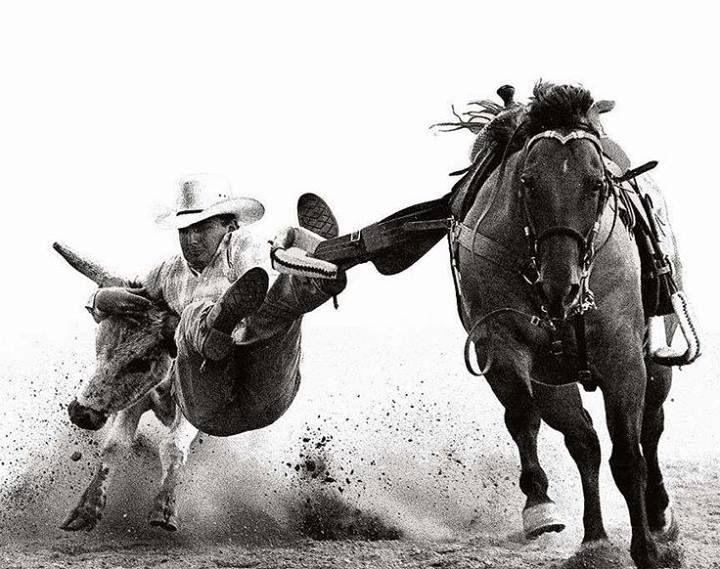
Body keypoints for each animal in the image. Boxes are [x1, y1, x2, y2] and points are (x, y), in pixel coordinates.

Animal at [452, 81, 684, 568]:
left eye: (596, 185)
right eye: (527, 182)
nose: (562, 284)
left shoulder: (622, 358)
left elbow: (630, 457)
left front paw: (648, 548)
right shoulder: (502, 345)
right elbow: (524, 416)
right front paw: (539, 506)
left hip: (657, 363)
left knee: (651, 427)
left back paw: (659, 516)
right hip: (555, 380)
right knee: (584, 441)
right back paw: (594, 537)